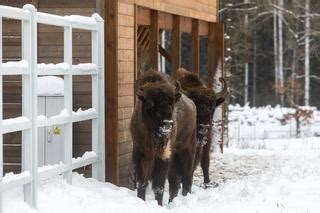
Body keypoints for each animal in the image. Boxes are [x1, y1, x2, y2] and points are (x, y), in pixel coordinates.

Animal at [131, 70, 198, 205]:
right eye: (150, 103)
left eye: (172, 102)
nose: (167, 123)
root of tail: (192, 104)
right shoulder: (139, 154)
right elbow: (141, 183)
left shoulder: (163, 157)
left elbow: (159, 186)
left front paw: (159, 204)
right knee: (174, 184)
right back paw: (172, 202)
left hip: (187, 151)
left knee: (187, 179)